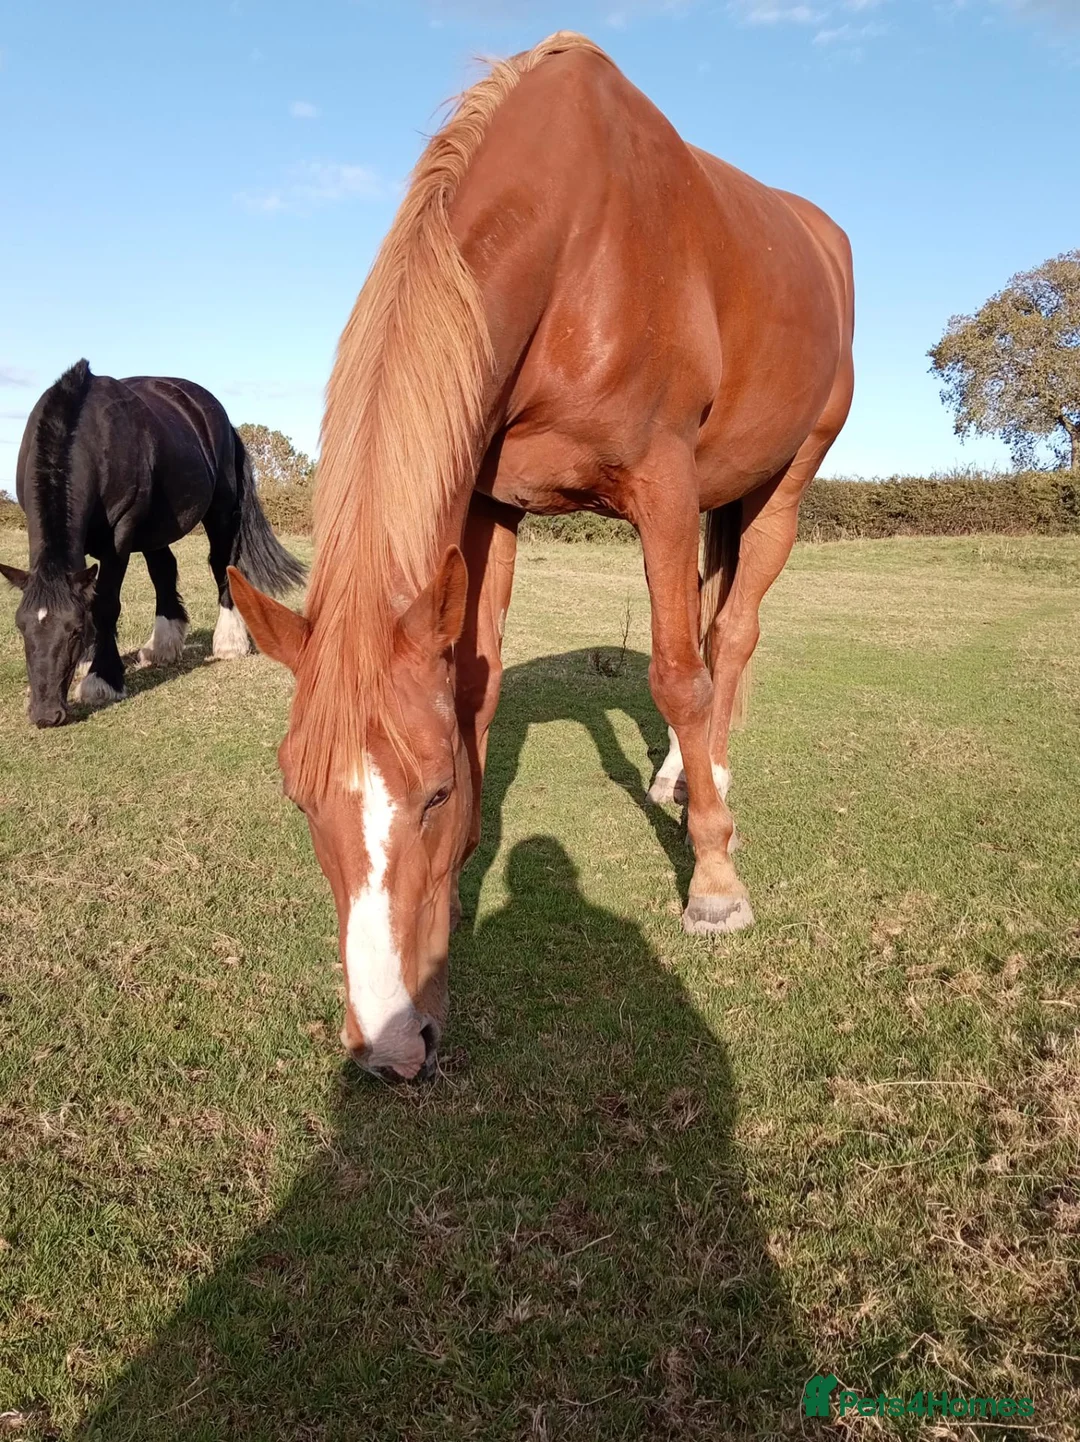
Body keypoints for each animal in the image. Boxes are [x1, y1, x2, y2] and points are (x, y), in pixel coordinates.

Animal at [1, 360, 305, 727]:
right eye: (21, 627)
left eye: (73, 630)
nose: (46, 714)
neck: (89, 437)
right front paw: (91, 661)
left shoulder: (120, 535)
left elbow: (106, 605)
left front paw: (102, 678)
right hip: (157, 527)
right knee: (164, 569)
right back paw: (162, 645)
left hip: (220, 510)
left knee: (222, 563)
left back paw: (229, 642)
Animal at [228, 32, 855, 1082]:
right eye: (297, 797)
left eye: (434, 794)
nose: (390, 1047)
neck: (576, 246)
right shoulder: (492, 506)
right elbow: (476, 684)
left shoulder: (663, 489)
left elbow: (676, 675)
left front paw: (715, 883)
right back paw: (677, 779)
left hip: (783, 485)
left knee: (729, 639)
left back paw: (713, 795)